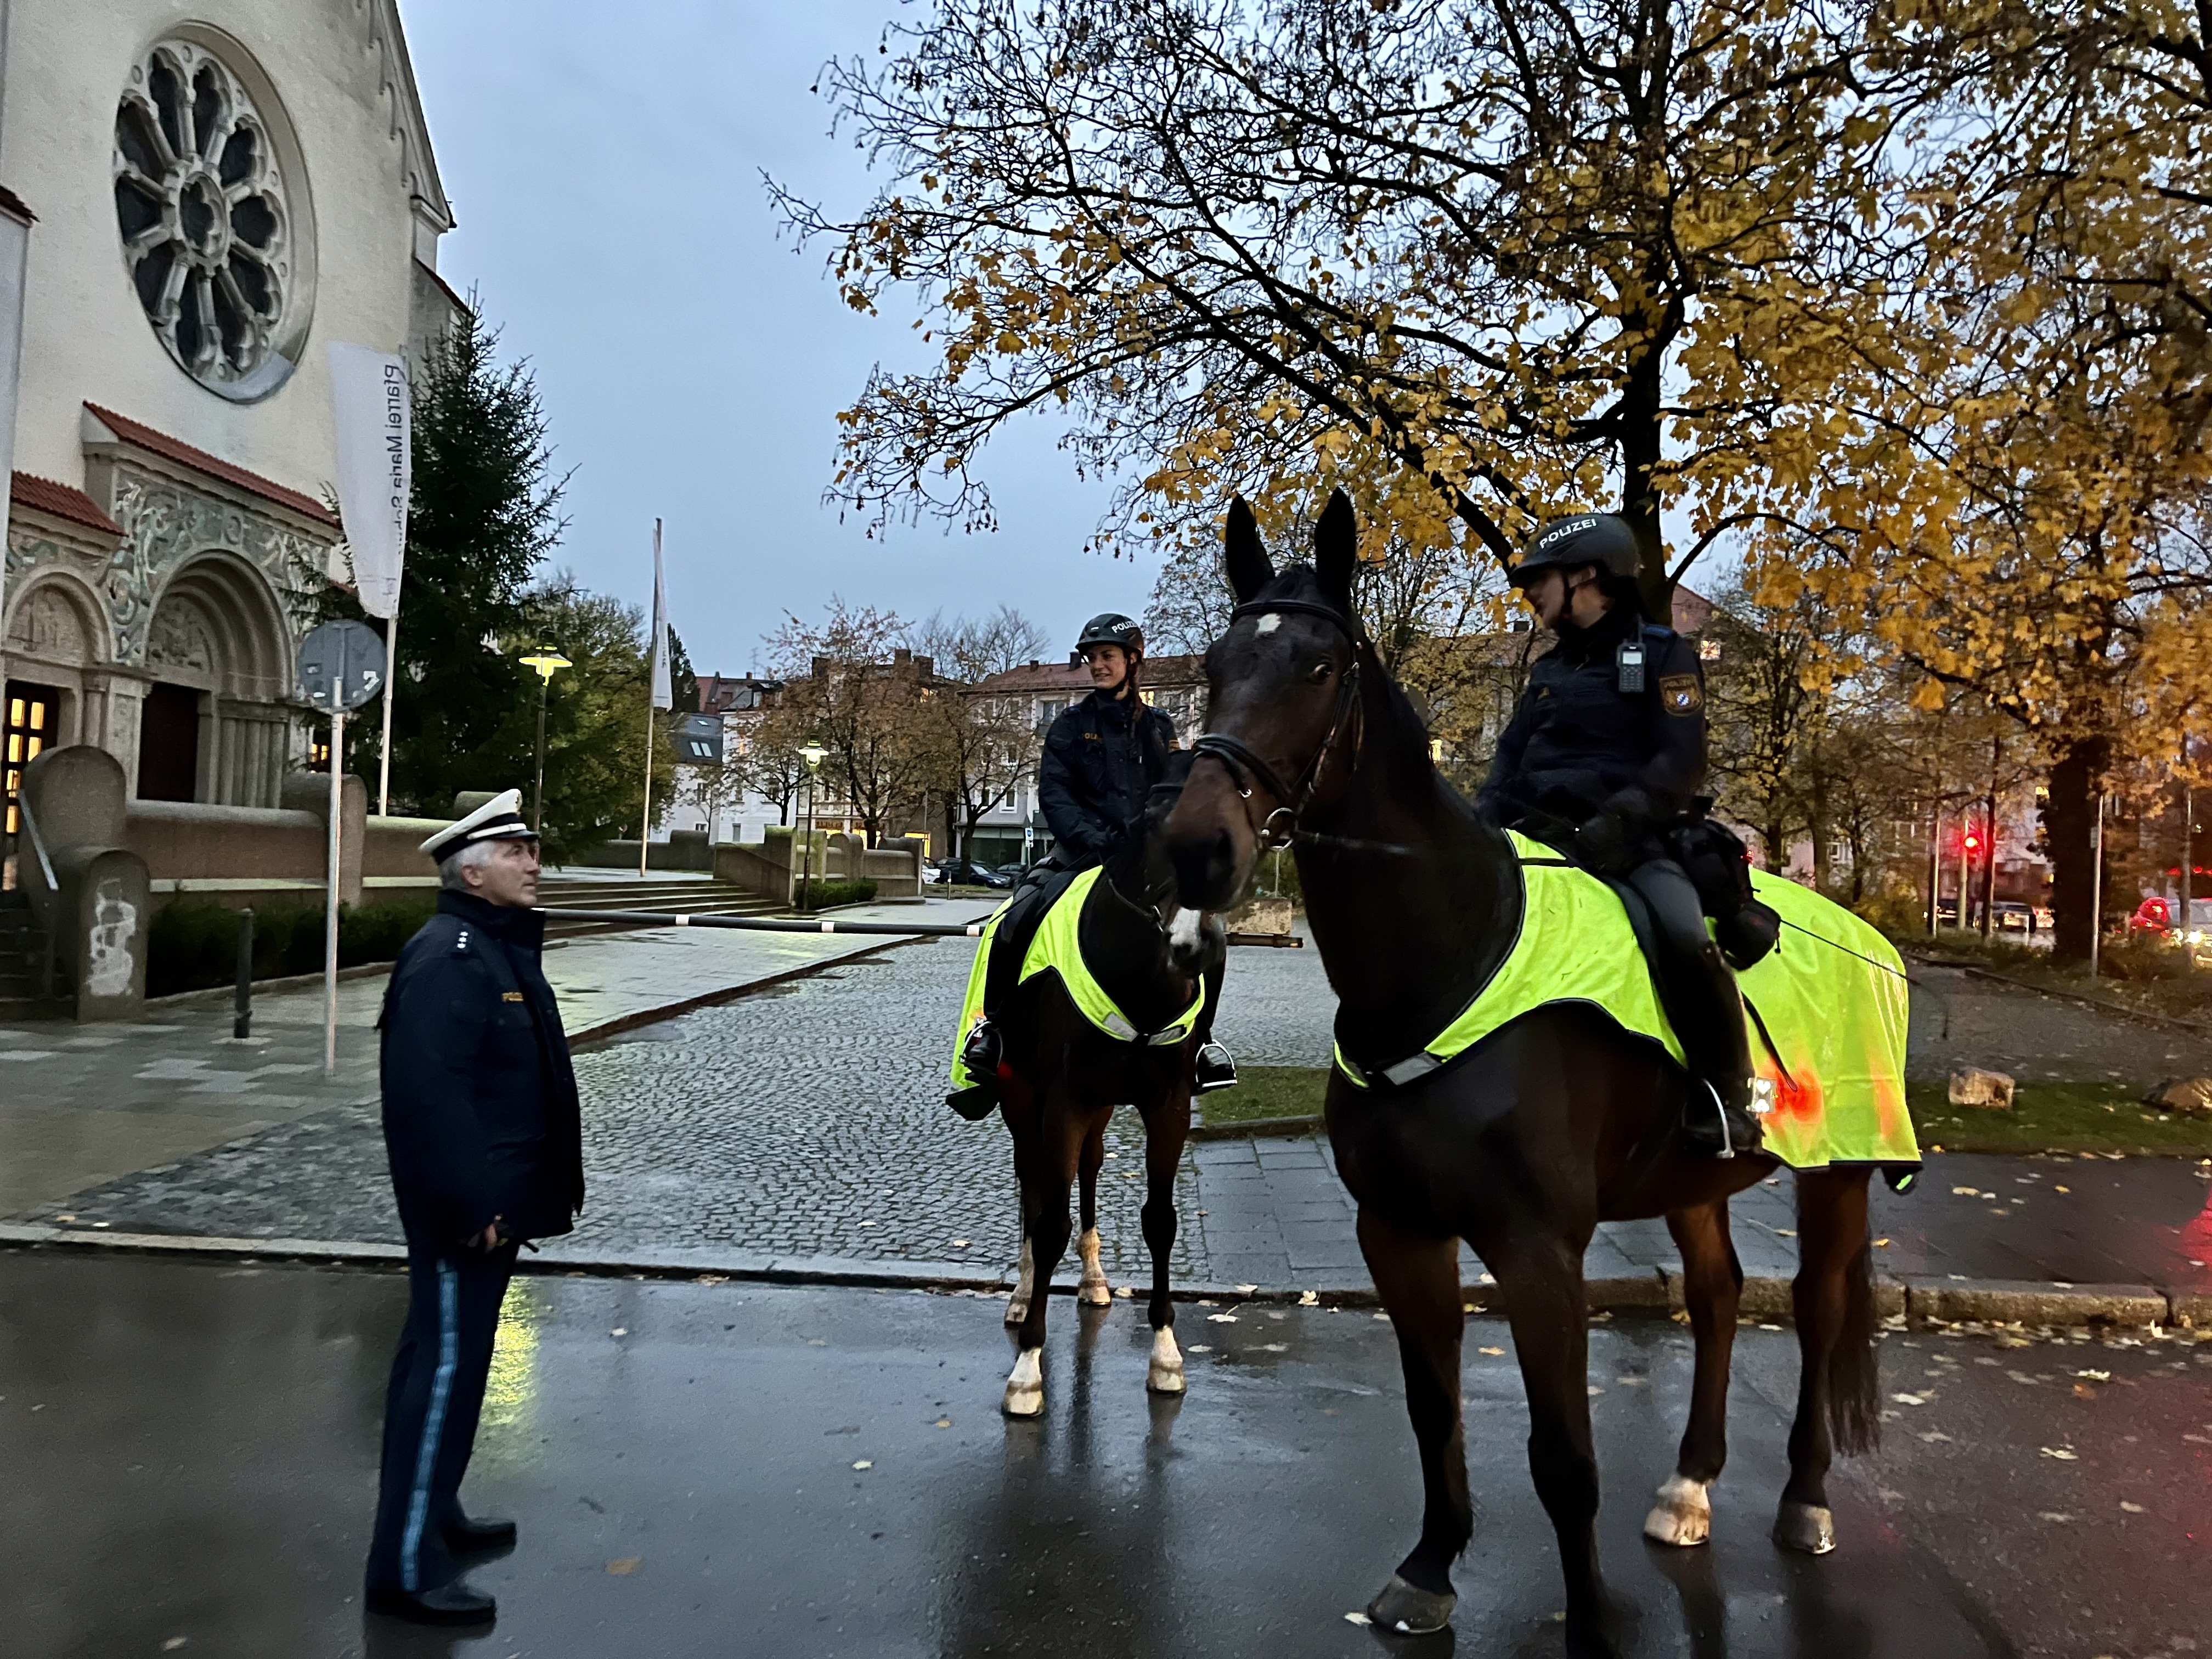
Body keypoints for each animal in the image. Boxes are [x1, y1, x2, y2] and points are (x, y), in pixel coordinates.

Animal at [1167, 498, 1876, 1659]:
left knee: (1815, 1313)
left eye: (1317, 667)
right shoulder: (1399, 1232)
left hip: (1839, 1174)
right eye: (1217, 665)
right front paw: (1429, 1566)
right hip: (1692, 1184)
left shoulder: (1539, 1250)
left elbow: (1563, 1455)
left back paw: (1806, 1500)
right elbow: (1432, 1406)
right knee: (1719, 1297)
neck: (1450, 961)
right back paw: (1689, 1486)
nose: (1193, 845)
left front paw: (1588, 1619)